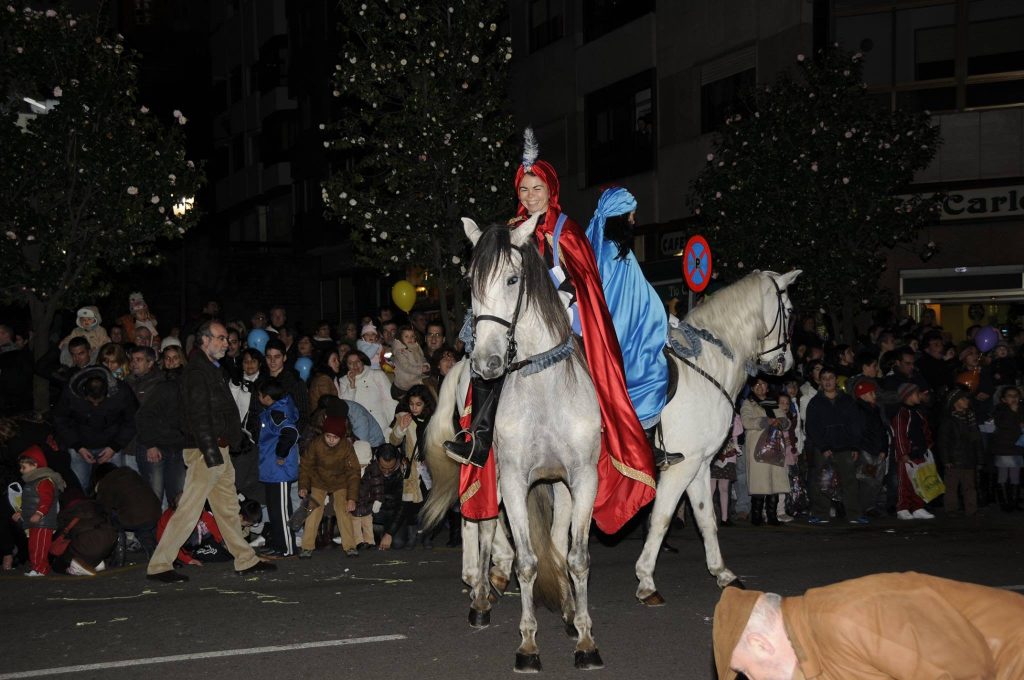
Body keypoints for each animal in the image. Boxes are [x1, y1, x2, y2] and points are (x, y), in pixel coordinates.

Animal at [421, 215, 602, 671]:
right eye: (471, 284)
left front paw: (584, 638)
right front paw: (528, 646)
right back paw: (480, 597)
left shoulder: (580, 479)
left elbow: (574, 556)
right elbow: (527, 561)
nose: (486, 364)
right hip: (489, 473)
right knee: (481, 526)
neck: (544, 389)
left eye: (512, 279)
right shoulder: (515, 480)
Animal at [634, 268, 802, 602]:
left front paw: (722, 572)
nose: (786, 363)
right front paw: (646, 580)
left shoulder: (700, 465)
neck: (703, 368)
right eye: (789, 311)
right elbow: (661, 518)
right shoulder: (682, 465)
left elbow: (706, 517)